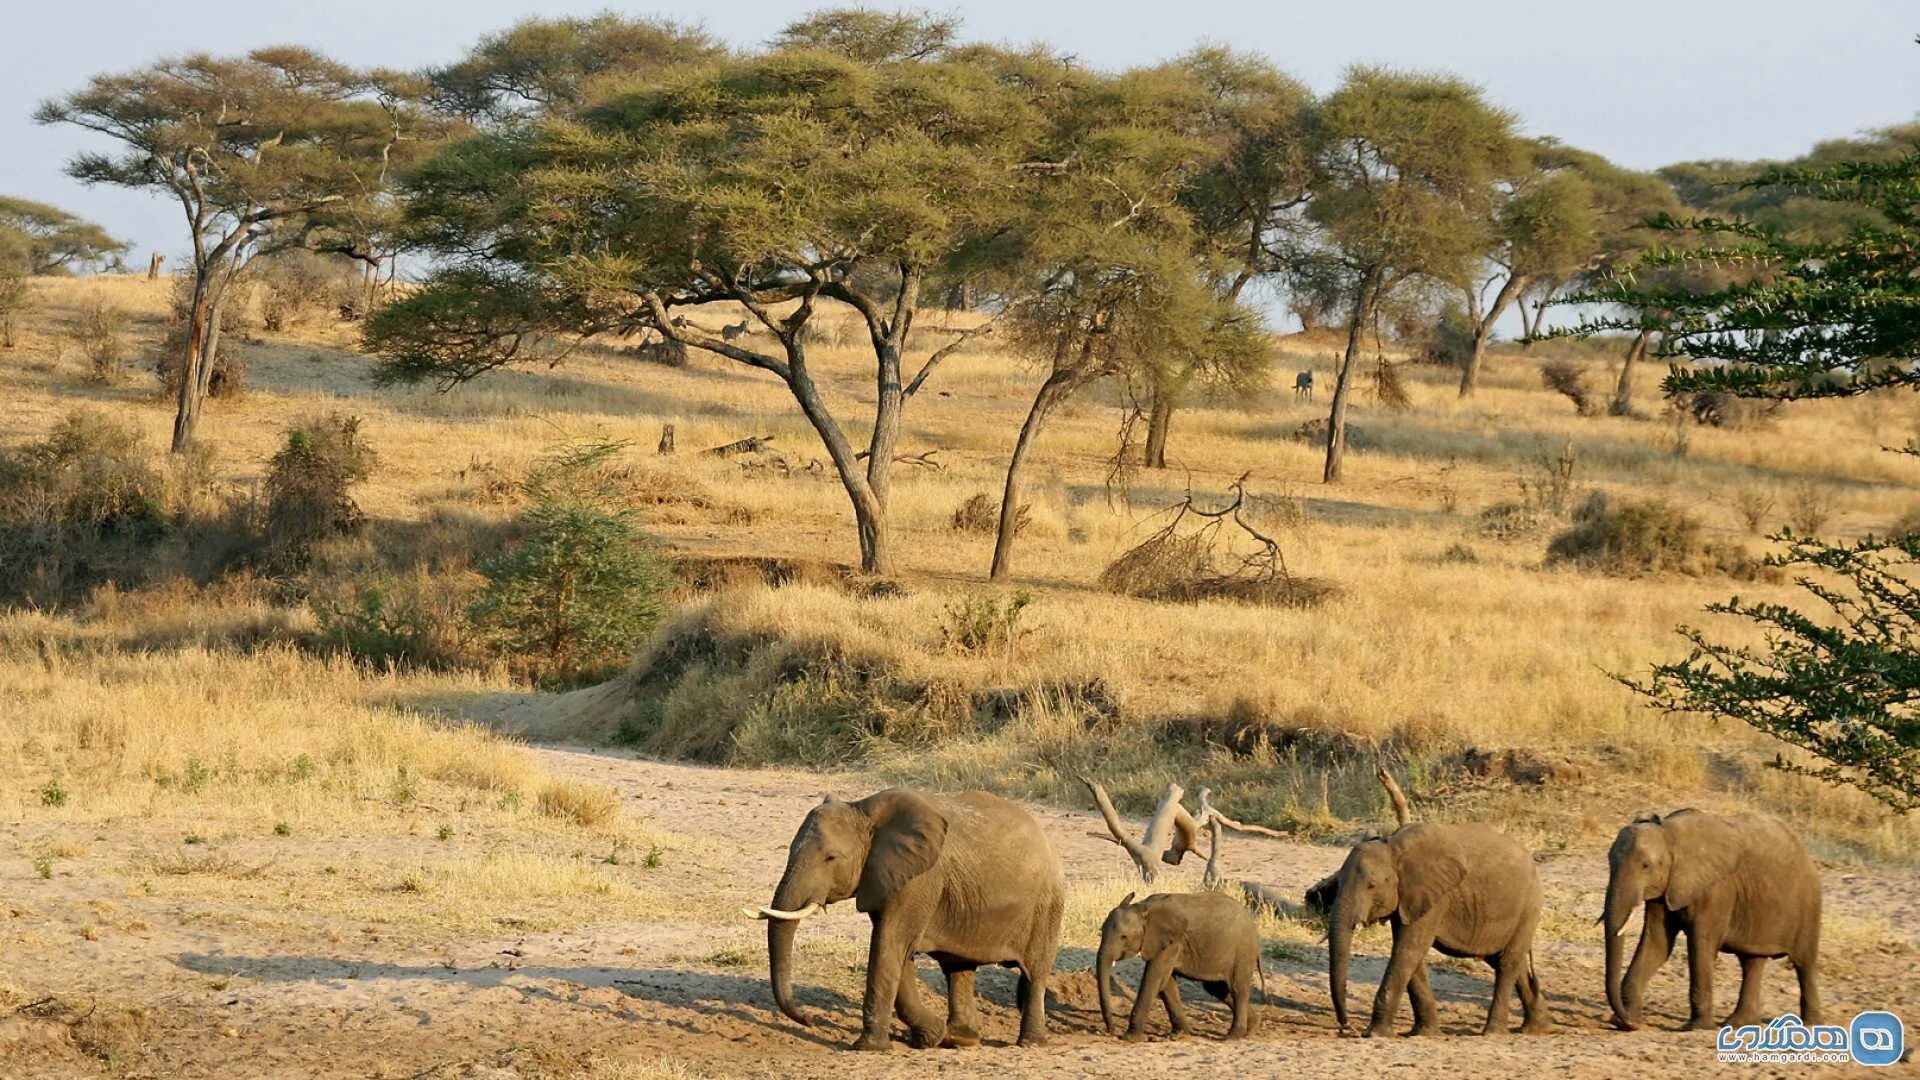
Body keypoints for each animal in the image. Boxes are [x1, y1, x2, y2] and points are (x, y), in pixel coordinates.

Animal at [748, 787, 1067, 1045]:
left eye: (831, 858)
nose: (809, 1019)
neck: (863, 810)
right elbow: (897, 952)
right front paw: (931, 1037)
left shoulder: (919, 880)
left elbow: (890, 944)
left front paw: (870, 1047)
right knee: (959, 968)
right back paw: (962, 1038)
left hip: (1047, 906)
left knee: (1035, 973)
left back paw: (1030, 1043)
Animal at [1098, 891, 1259, 1037]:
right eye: (1101, 932)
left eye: (1123, 937)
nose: (1111, 1031)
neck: (1143, 908)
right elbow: (1167, 983)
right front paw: (1180, 1033)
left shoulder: (1171, 942)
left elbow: (1153, 979)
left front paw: (1130, 1038)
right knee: (1217, 989)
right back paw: (1251, 1028)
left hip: (1243, 950)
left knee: (1237, 989)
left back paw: (1233, 1036)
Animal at [1597, 807, 1820, 1022]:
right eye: (1609, 861)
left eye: (1646, 866)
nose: (1626, 1019)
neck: (1670, 833)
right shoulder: (1665, 889)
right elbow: (1657, 943)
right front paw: (1628, 1021)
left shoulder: (1718, 889)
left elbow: (1700, 944)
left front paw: (1698, 1026)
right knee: (1752, 962)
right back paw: (1737, 1023)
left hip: (1809, 904)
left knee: (1804, 964)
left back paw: (1811, 1023)